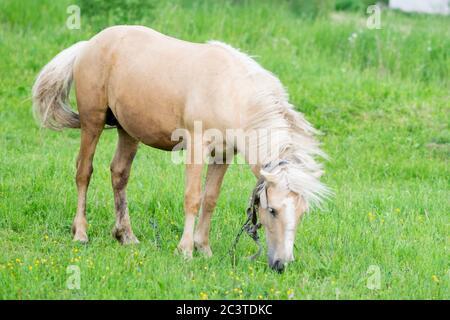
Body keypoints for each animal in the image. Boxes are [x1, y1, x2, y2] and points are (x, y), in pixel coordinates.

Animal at [31, 25, 326, 272]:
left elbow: (210, 199)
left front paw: (203, 248)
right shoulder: (197, 147)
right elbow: (193, 198)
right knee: (84, 172)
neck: (229, 93)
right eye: (272, 210)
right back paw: (80, 233)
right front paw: (185, 250)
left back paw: (126, 236)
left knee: (119, 174)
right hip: (92, 122)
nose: (281, 264)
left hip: (128, 131)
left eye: (302, 213)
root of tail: (90, 44)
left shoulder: (223, 155)